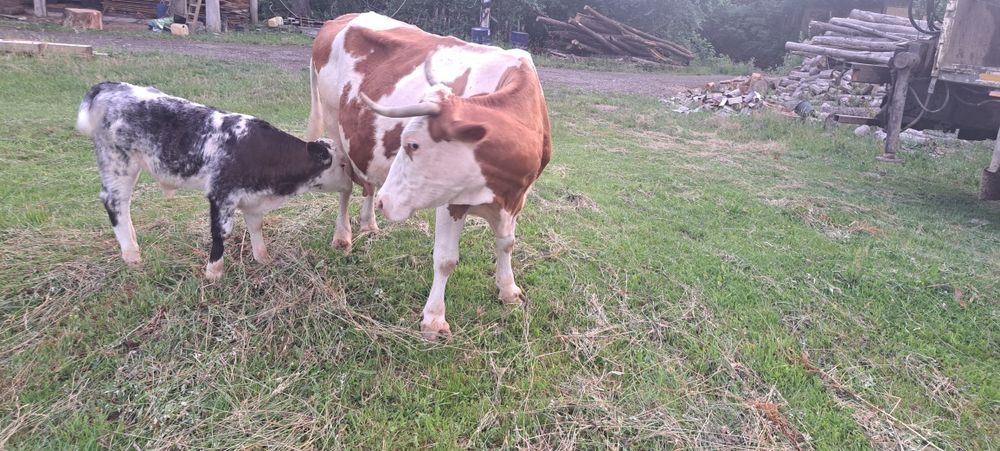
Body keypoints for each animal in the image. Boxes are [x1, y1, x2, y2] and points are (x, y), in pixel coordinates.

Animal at [76, 82, 354, 280]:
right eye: (341, 164)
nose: (353, 182)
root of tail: (109, 87)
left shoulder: (254, 199)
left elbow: (256, 227)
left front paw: (263, 259)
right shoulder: (221, 194)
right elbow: (221, 233)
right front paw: (214, 273)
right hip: (117, 163)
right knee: (116, 204)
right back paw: (132, 256)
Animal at [307, 13, 551, 340]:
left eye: (412, 144)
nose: (387, 202)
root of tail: (342, 18)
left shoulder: (517, 197)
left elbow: (507, 243)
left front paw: (508, 290)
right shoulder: (450, 202)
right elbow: (446, 259)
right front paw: (434, 319)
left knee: (368, 183)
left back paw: (369, 223)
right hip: (335, 128)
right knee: (345, 188)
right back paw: (343, 236)